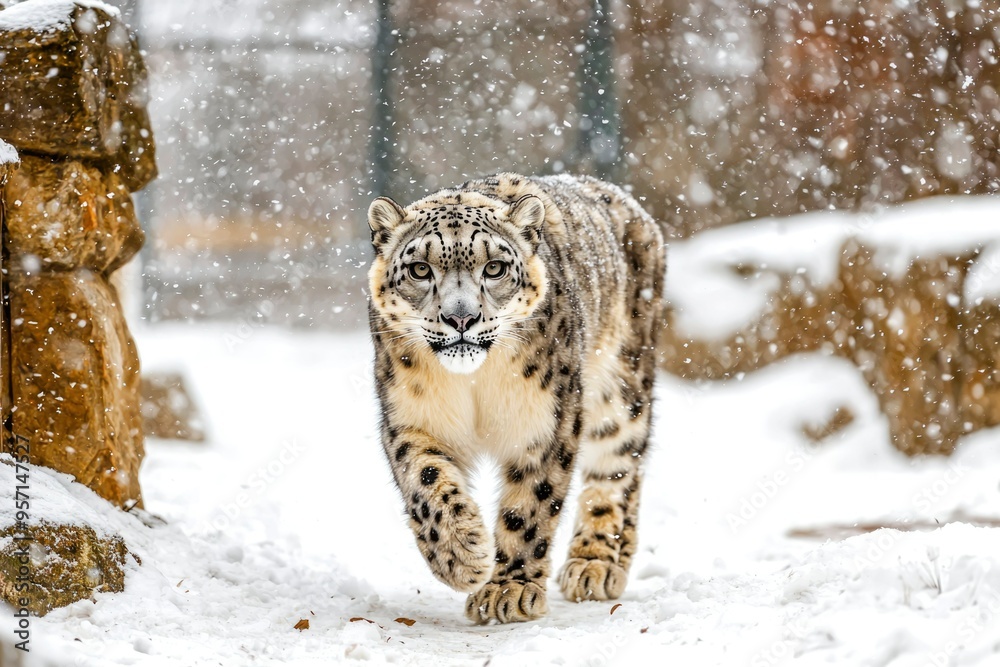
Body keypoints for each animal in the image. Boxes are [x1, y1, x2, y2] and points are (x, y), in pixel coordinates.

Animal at [366, 172, 666, 624]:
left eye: (495, 267)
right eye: (420, 269)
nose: (460, 317)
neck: (474, 384)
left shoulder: (546, 420)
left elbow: (529, 505)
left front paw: (508, 589)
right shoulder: (411, 417)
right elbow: (425, 481)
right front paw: (462, 555)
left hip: (622, 389)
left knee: (617, 472)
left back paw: (596, 563)